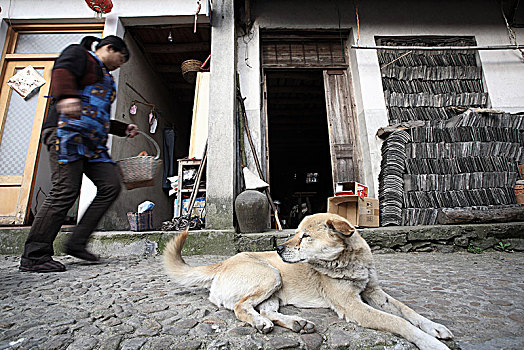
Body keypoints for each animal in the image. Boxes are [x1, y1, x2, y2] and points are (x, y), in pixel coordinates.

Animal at [165, 212, 454, 348]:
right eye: (296, 233)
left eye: (305, 236)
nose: (279, 249)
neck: (347, 260)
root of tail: (223, 262)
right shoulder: (354, 306)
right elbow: (398, 322)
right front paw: (431, 343)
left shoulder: (374, 292)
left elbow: (407, 312)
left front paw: (435, 328)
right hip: (271, 274)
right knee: (241, 308)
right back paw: (260, 323)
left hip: (275, 291)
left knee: (266, 311)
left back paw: (297, 323)